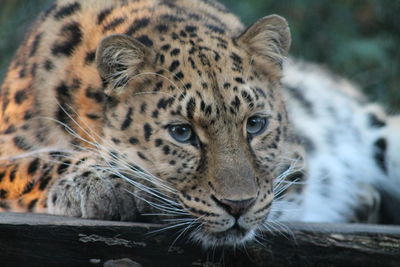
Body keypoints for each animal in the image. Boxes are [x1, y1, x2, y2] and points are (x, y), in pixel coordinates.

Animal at [0, 0, 398, 249]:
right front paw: (100, 183)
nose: (238, 206)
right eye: (182, 133)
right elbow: (38, 160)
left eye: (255, 125)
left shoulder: (294, 158)